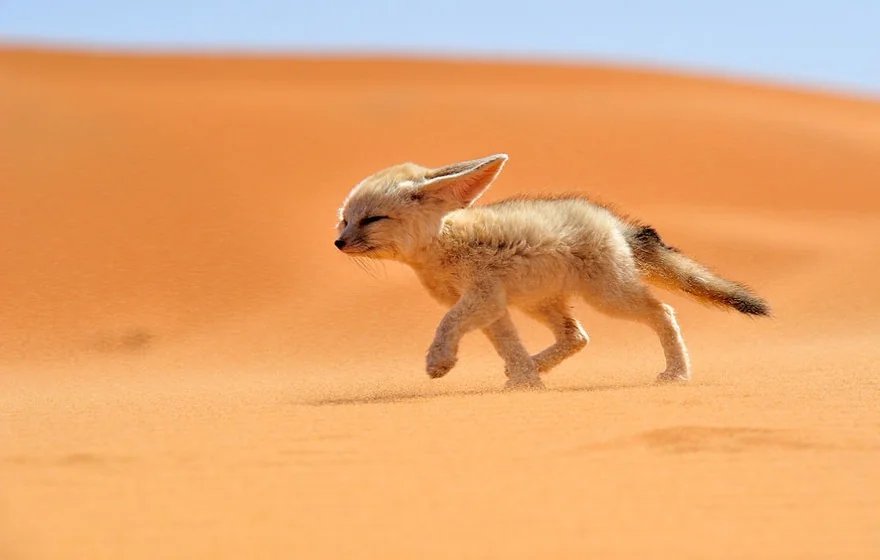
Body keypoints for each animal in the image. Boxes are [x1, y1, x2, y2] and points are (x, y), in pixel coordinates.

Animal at [335, 154, 769, 389]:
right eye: (344, 220)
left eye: (372, 219)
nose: (338, 243)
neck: (444, 244)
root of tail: (613, 221)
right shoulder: (493, 306)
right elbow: (507, 344)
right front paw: (526, 381)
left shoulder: (481, 297)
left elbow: (447, 323)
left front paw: (439, 361)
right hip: (539, 303)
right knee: (577, 336)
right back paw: (535, 366)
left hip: (609, 298)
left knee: (663, 311)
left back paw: (677, 372)